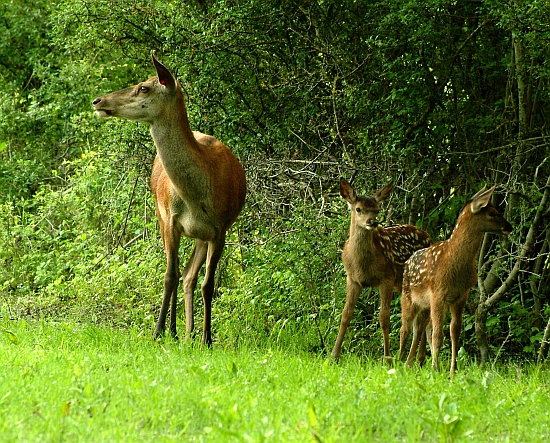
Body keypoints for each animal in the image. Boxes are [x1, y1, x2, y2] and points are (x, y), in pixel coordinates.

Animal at [91, 53, 247, 346]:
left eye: (143, 87)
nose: (98, 101)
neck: (197, 197)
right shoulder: (171, 221)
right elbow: (168, 276)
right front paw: (159, 331)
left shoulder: (220, 228)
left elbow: (208, 284)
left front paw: (207, 339)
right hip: (160, 215)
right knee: (180, 274)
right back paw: (177, 331)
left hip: (200, 235)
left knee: (189, 276)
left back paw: (189, 332)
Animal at [334, 180, 434, 364]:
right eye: (358, 209)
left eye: (377, 209)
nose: (372, 222)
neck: (362, 264)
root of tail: (429, 237)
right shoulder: (352, 279)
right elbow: (346, 315)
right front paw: (333, 356)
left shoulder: (386, 278)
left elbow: (384, 318)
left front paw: (387, 358)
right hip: (402, 284)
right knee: (422, 317)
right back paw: (420, 359)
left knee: (422, 318)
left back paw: (416, 359)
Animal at [402, 186, 512, 376]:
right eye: (491, 213)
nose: (509, 227)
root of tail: (407, 262)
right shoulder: (438, 293)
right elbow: (438, 335)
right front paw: (435, 370)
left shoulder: (461, 296)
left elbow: (454, 332)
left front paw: (452, 371)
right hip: (408, 296)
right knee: (406, 328)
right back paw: (395, 361)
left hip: (425, 305)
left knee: (421, 328)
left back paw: (410, 364)